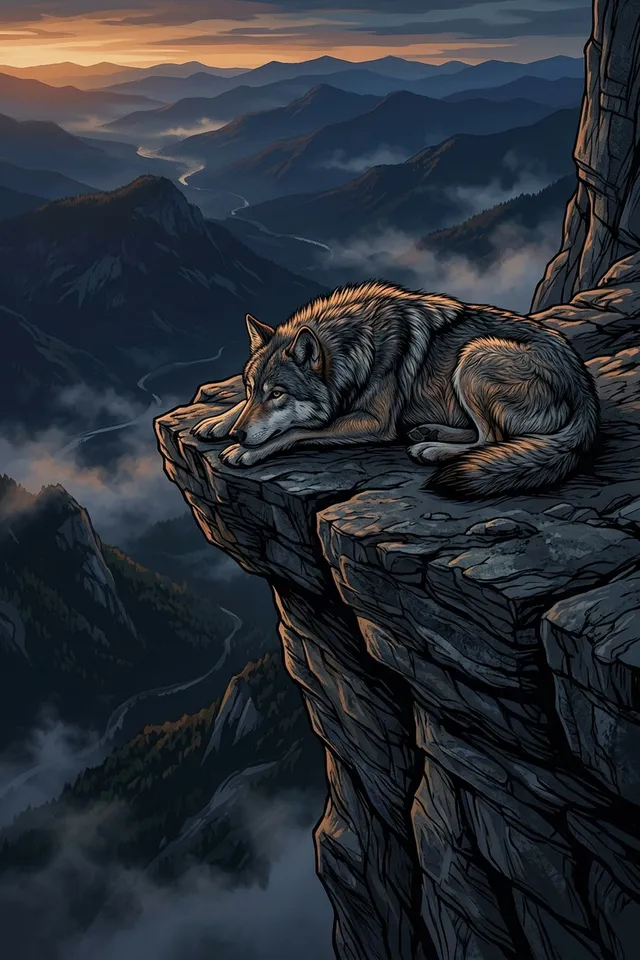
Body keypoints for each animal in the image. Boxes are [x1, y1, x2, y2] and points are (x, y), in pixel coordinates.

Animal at [191, 280, 599, 498]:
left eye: (277, 394)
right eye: (251, 389)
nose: (240, 434)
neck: (356, 349)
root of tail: (585, 389)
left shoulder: (374, 423)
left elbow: (296, 431)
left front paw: (243, 451)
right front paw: (217, 421)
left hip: (475, 355)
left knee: (491, 439)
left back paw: (432, 449)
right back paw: (429, 431)